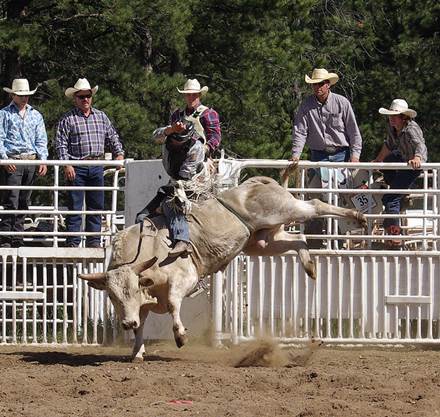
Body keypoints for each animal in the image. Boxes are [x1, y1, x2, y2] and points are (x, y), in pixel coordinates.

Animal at [78, 174, 364, 360]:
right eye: (112, 296)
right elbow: (142, 324)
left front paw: (180, 336)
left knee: (315, 206)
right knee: (298, 239)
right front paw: (137, 352)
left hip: (285, 209)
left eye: (134, 290)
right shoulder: (143, 305)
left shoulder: (185, 279)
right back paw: (310, 266)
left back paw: (358, 217)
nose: (125, 323)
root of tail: (255, 182)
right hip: (262, 241)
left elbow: (172, 303)